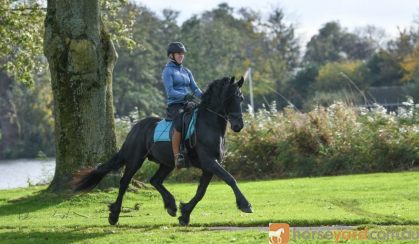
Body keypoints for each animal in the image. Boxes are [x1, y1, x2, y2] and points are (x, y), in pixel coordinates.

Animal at [73, 76, 253, 225]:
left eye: (241, 98)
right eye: (230, 98)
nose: (238, 125)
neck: (208, 124)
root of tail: (135, 128)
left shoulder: (208, 167)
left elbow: (201, 191)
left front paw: (184, 214)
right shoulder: (209, 162)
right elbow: (230, 179)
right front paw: (245, 205)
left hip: (167, 163)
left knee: (155, 180)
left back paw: (171, 206)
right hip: (135, 159)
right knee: (124, 182)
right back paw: (114, 215)